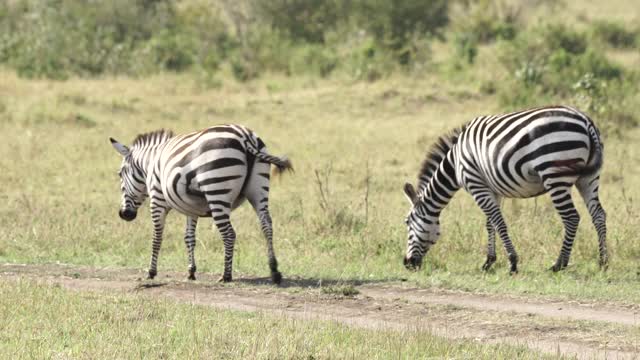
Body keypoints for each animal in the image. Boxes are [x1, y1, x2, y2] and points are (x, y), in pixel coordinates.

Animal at [109, 124, 292, 284]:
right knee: (266, 225)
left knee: (229, 234)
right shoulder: (191, 208)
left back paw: (226, 275)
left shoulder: (157, 200)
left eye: (120, 174)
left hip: (217, 189)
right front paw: (191, 271)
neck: (150, 164)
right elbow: (189, 238)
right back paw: (274, 271)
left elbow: (156, 238)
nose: (124, 214)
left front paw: (151, 272)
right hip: (259, 189)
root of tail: (245, 137)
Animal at [402, 105, 608, 274]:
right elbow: (490, 223)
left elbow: (499, 223)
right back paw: (603, 262)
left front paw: (513, 263)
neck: (455, 163)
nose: (407, 263)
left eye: (407, 222)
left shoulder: (476, 184)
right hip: (588, 177)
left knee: (571, 218)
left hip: (555, 175)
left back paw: (559, 264)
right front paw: (489, 262)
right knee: (598, 214)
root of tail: (585, 121)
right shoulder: (493, 189)